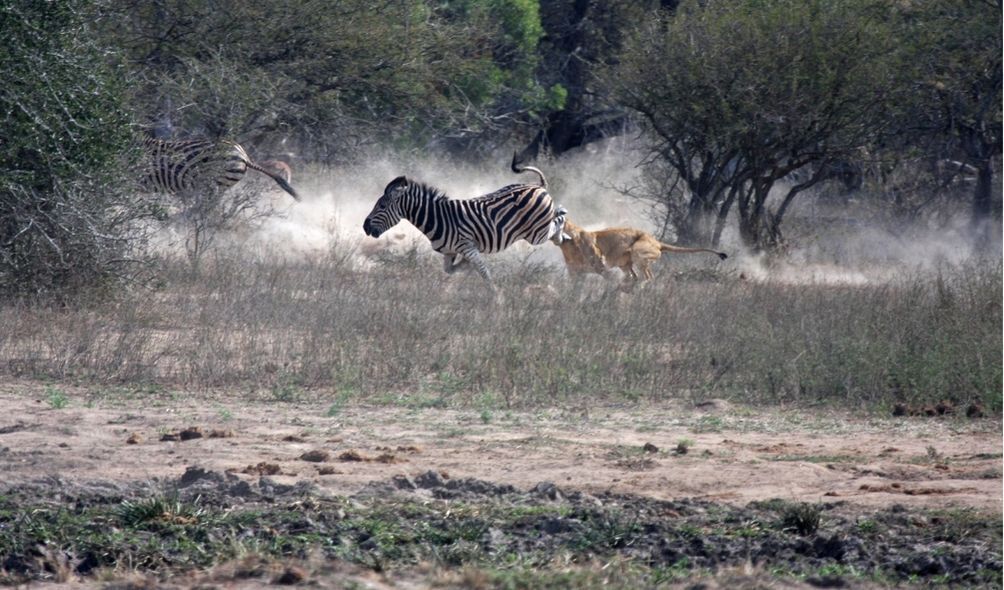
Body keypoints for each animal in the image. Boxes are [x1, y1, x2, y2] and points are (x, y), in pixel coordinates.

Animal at [363, 153, 570, 288]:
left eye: (382, 206)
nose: (365, 226)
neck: (435, 219)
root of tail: (537, 186)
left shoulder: (467, 246)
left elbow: (484, 273)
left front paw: (496, 299)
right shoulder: (450, 251)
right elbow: (452, 270)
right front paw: (465, 267)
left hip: (536, 234)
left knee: (558, 219)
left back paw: (563, 232)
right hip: (536, 230)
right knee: (556, 218)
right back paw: (565, 235)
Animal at [554, 218, 726, 288]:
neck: (566, 243)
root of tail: (657, 242)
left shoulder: (601, 265)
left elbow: (609, 277)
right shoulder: (574, 273)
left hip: (638, 252)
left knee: (648, 277)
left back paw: (639, 287)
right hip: (625, 263)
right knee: (634, 276)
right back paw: (629, 285)